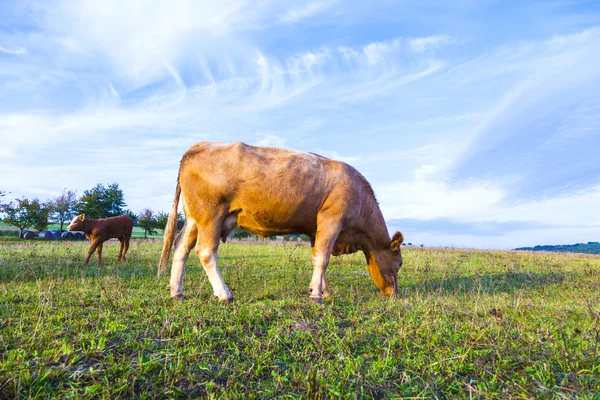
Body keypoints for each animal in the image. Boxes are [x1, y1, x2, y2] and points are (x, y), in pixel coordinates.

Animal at [157, 142, 406, 302]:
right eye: (400, 263)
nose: (394, 294)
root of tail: (199, 146)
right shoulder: (332, 219)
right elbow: (324, 258)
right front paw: (317, 295)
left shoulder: (315, 229)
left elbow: (317, 256)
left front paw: (321, 290)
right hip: (211, 215)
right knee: (206, 252)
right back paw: (224, 295)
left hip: (193, 218)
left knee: (181, 248)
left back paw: (176, 292)